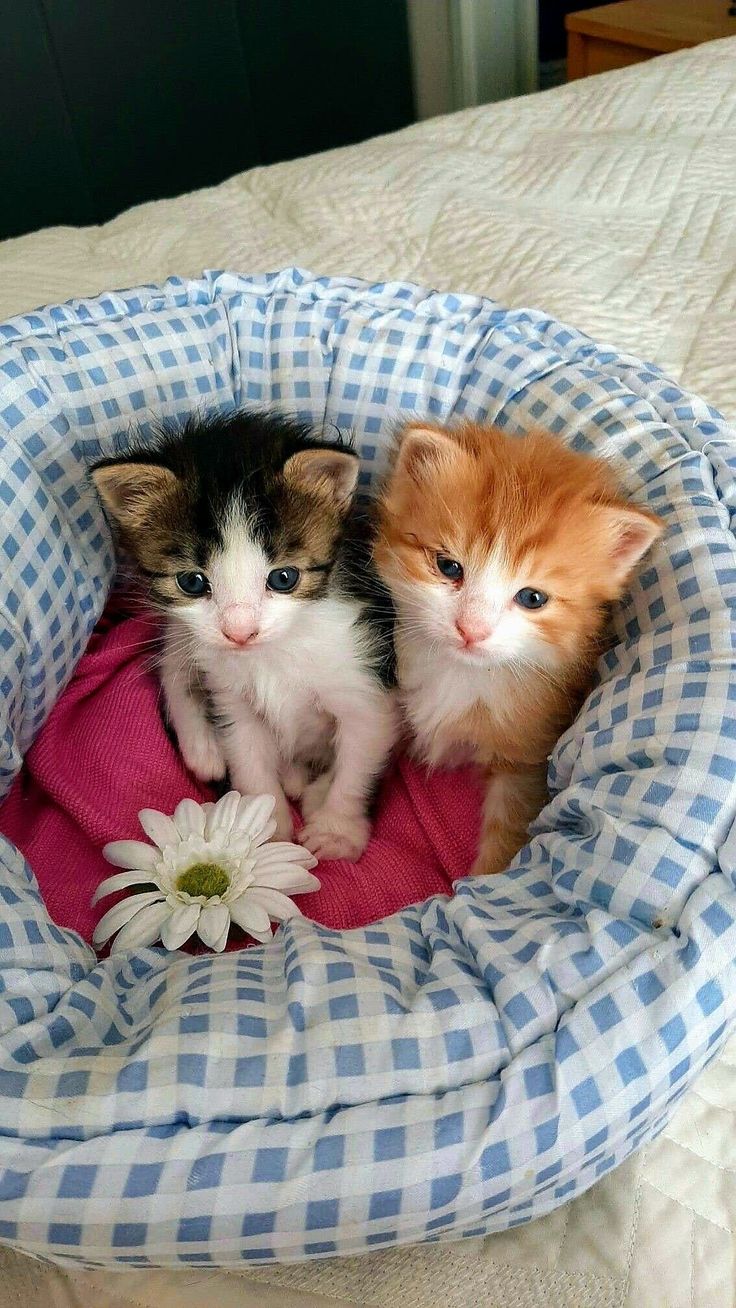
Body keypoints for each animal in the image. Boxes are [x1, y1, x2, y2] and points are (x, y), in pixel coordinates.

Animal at [93, 408, 402, 858]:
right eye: (191, 582)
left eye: (284, 578)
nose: (240, 632)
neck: (272, 654)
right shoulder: (230, 696)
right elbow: (248, 758)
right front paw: (260, 833)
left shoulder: (366, 683)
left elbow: (360, 757)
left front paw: (337, 830)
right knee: (174, 657)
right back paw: (205, 749)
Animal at [376, 418, 664, 878]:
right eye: (448, 567)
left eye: (532, 598)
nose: (470, 629)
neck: (461, 672)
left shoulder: (527, 760)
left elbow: (508, 831)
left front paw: (483, 882)